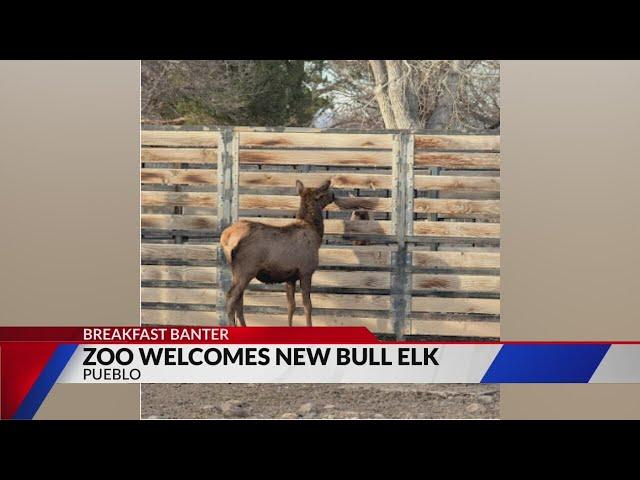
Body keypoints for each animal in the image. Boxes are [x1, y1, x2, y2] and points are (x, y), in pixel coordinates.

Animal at [221, 179, 336, 326]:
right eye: (323, 193)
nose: (333, 195)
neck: (316, 234)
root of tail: (225, 237)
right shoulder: (306, 271)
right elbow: (308, 305)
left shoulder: (291, 277)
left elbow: (291, 305)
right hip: (246, 269)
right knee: (231, 297)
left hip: (237, 271)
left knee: (239, 299)